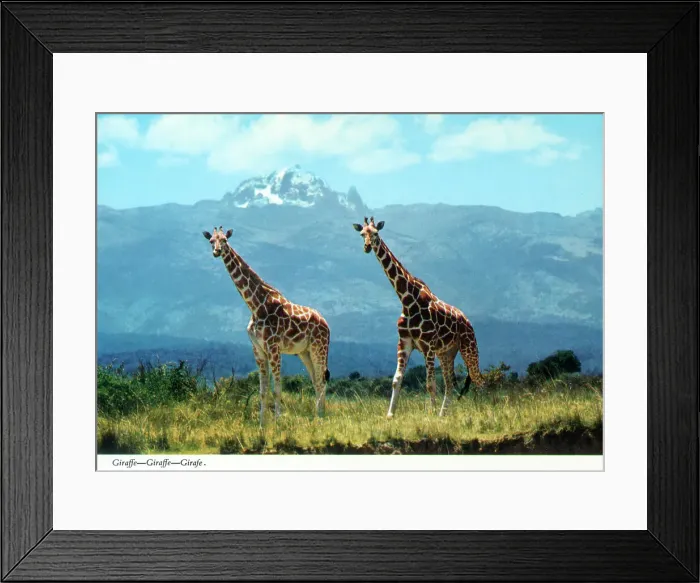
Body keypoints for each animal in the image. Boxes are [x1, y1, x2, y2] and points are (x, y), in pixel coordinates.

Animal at [203, 226, 331, 427]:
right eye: (211, 241)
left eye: (224, 240)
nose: (216, 251)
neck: (255, 305)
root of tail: (326, 323)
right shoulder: (258, 350)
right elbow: (262, 392)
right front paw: (262, 424)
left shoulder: (274, 347)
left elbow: (277, 390)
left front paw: (277, 422)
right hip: (305, 352)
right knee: (316, 381)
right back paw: (318, 417)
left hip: (319, 348)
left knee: (321, 380)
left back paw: (321, 419)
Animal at [352, 216, 484, 419]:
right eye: (361, 234)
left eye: (375, 233)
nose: (367, 247)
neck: (406, 299)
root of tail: (468, 321)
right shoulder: (405, 342)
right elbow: (396, 380)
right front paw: (390, 415)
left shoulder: (428, 345)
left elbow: (430, 384)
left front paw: (430, 414)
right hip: (447, 353)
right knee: (450, 384)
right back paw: (443, 415)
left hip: (469, 347)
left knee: (479, 379)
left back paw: (481, 412)